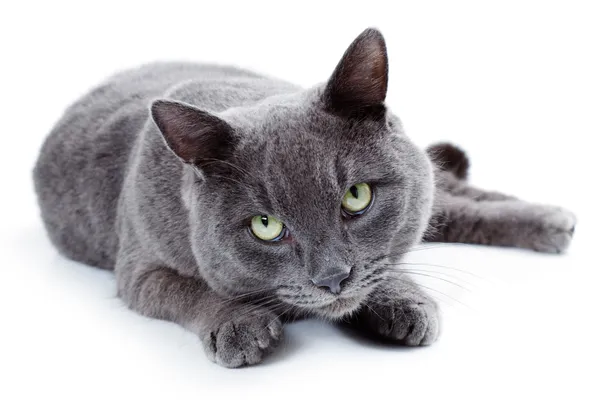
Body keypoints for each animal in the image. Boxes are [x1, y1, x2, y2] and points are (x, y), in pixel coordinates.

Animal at [34, 29, 576, 370]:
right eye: (266, 226)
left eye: (356, 197)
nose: (332, 278)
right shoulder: (139, 269)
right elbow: (189, 291)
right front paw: (240, 324)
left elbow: (390, 256)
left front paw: (403, 301)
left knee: (454, 196)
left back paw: (553, 220)